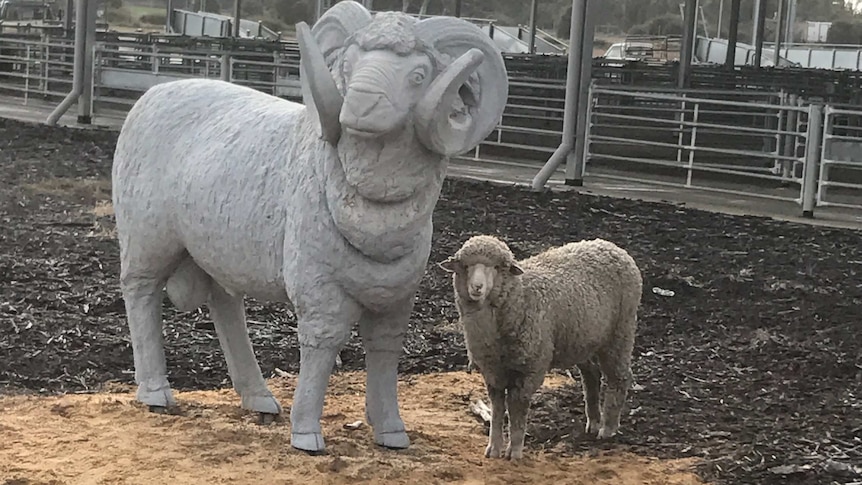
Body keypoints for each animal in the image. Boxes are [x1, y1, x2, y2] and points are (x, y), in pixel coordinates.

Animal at [111, 1, 510, 452]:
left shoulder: (397, 294)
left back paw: (258, 398)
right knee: (141, 294)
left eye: (419, 75)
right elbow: (324, 342)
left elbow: (386, 349)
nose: (359, 107)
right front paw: (305, 433)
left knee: (225, 306)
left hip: (217, 247)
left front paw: (391, 430)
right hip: (147, 239)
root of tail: (153, 93)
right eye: (348, 65)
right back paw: (155, 391)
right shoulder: (318, 284)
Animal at [442, 236, 644, 460]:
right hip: (583, 339)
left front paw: (515, 451)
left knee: (619, 377)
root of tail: (611, 246)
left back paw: (608, 428)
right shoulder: (492, 371)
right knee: (591, 376)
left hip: (620, 331)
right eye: (465, 266)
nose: (477, 287)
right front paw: (494, 448)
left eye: (498, 267)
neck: (521, 298)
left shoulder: (530, 368)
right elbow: (497, 409)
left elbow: (517, 409)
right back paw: (593, 422)